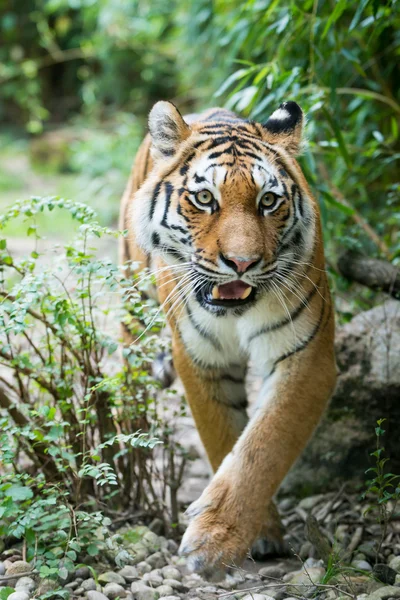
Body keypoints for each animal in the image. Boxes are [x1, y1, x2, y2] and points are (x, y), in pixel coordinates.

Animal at [119, 101, 338, 580]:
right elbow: (222, 436)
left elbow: (263, 446)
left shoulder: (306, 357)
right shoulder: (201, 359)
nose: (241, 262)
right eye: (205, 199)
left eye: (268, 201)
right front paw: (232, 539)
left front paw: (217, 540)